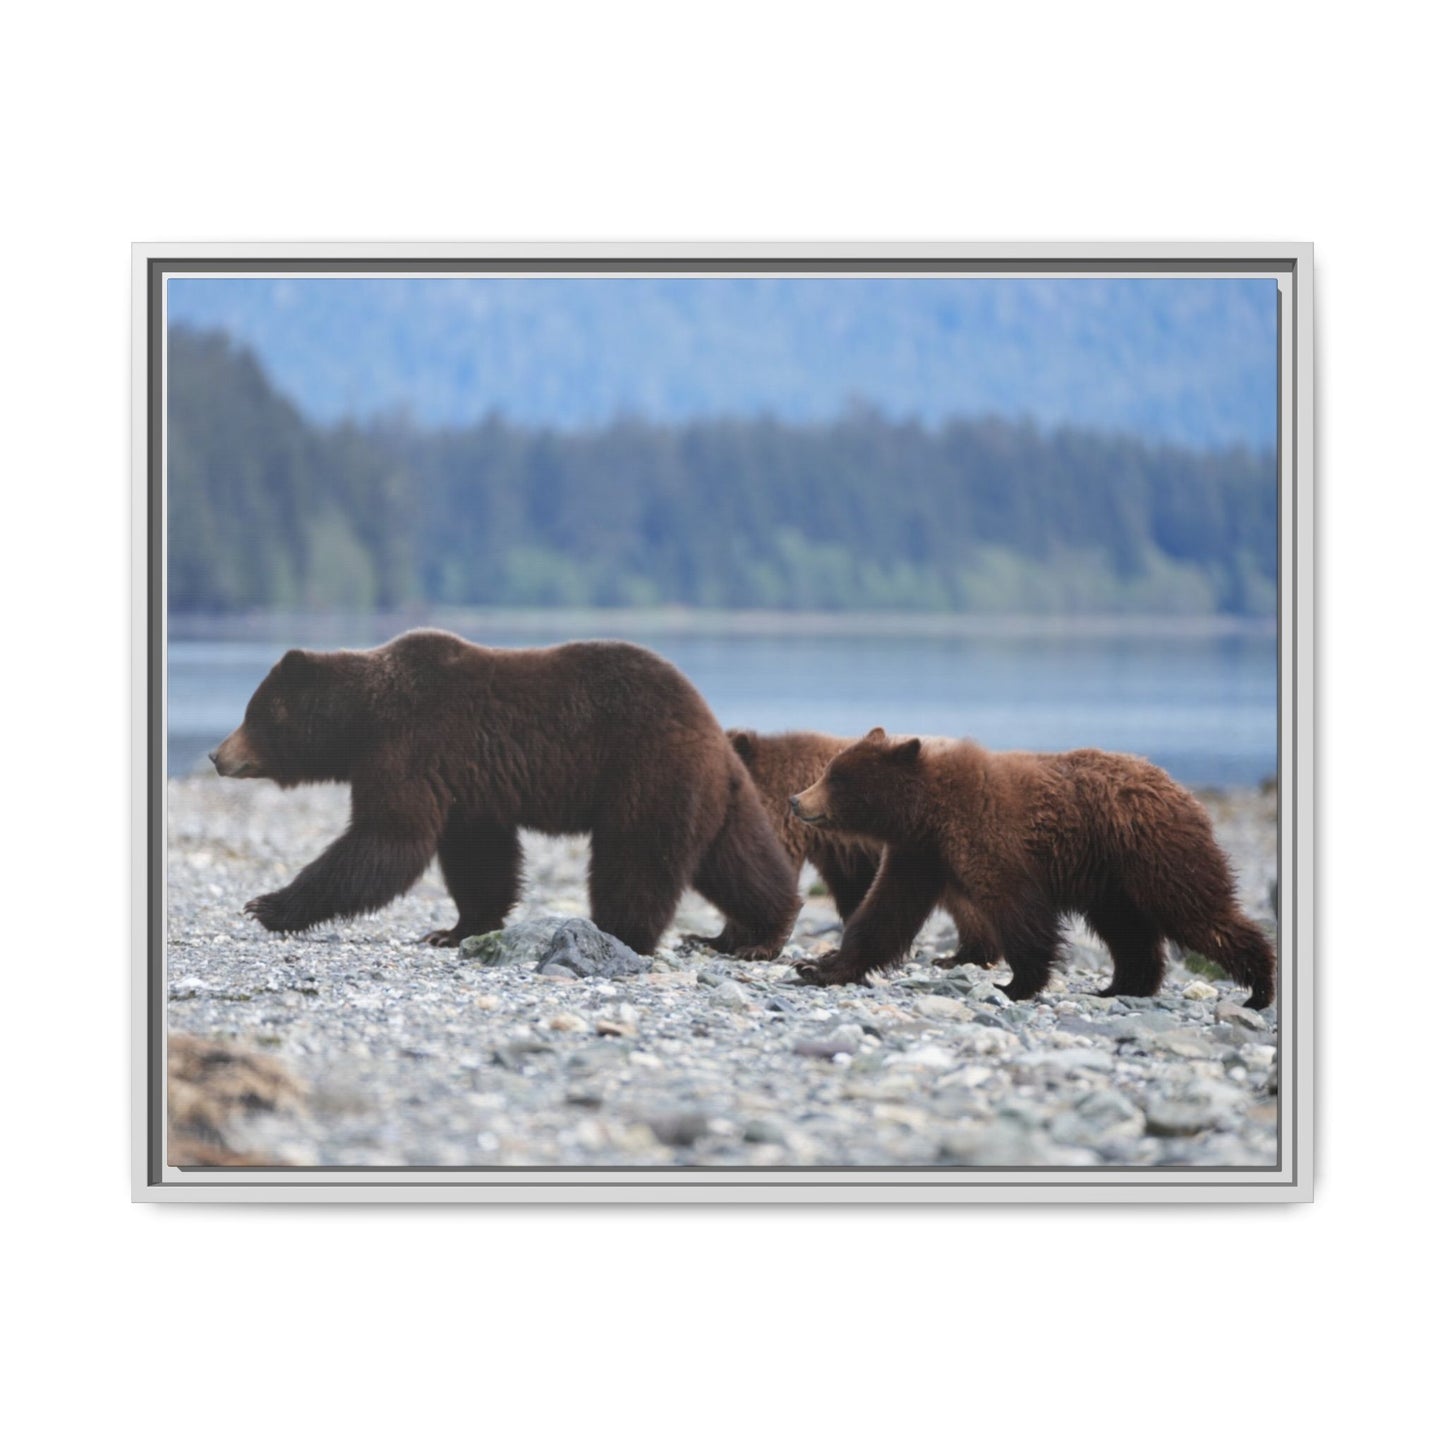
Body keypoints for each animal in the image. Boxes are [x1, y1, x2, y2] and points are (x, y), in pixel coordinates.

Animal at [210, 629, 801, 959]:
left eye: (252, 713)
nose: (217, 755)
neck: (362, 721)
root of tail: (711, 727)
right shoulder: (468, 785)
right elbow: (478, 857)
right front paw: (454, 930)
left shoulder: (411, 748)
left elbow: (387, 839)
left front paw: (267, 904)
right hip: (717, 794)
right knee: (740, 861)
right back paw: (759, 933)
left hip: (647, 775)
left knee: (635, 861)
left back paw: (619, 933)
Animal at [787, 728, 1275, 1009]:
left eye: (837, 778)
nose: (796, 800)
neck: (929, 812)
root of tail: (1182, 790)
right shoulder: (919, 853)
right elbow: (884, 912)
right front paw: (818, 966)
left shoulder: (989, 837)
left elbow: (1017, 910)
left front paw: (1014, 985)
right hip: (1112, 882)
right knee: (1128, 930)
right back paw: (1121, 986)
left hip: (1155, 853)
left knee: (1198, 912)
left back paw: (1259, 987)